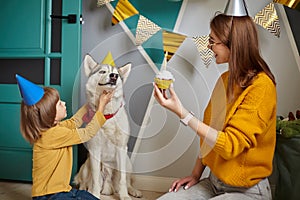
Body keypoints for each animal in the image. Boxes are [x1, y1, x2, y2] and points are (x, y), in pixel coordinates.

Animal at [74, 54, 142, 199]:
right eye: (102, 71)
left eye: (116, 74)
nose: (113, 76)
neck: (106, 115)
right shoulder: (94, 149)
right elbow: (95, 178)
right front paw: (94, 195)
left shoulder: (121, 148)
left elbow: (122, 179)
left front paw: (124, 196)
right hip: (86, 165)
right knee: (85, 181)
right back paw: (86, 190)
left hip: (128, 163)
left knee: (127, 180)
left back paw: (133, 191)